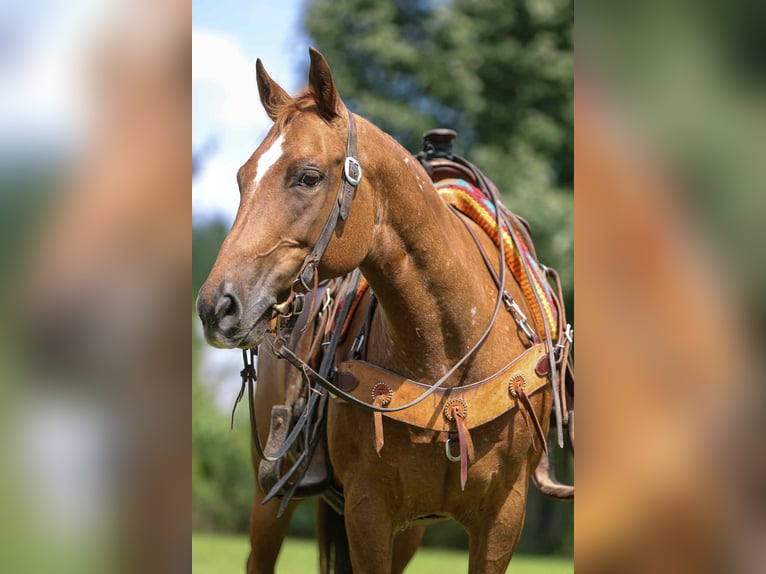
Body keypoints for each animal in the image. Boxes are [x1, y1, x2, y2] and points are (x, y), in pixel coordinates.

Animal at [197, 48, 568, 573]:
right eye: (241, 178)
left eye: (309, 176)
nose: (217, 306)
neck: (447, 356)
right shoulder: (367, 511)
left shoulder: (503, 516)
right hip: (267, 495)